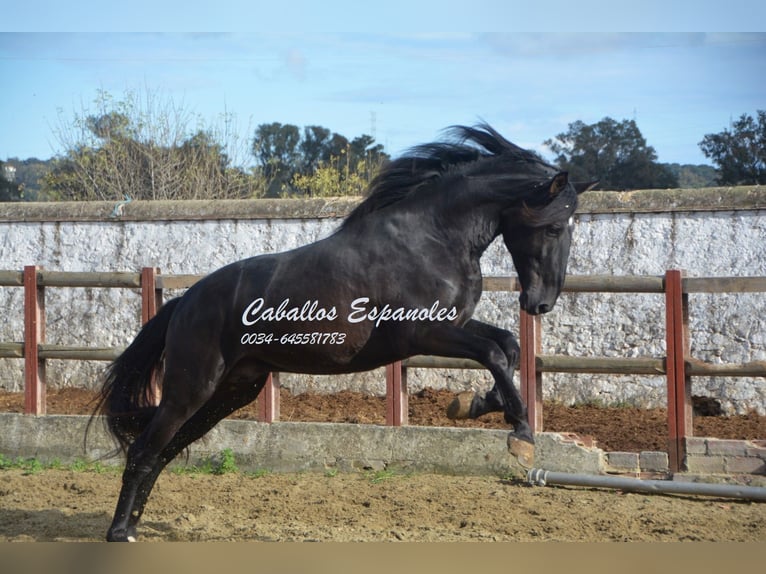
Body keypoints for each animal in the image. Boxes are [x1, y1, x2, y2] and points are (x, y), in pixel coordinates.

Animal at [91, 124, 592, 544]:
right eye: (551, 226)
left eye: (571, 228)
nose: (541, 303)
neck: (433, 238)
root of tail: (184, 303)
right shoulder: (424, 333)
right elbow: (493, 352)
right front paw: (521, 434)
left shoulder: (452, 326)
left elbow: (507, 346)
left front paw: (474, 405)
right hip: (191, 388)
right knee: (144, 450)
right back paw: (118, 532)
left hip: (233, 390)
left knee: (164, 451)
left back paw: (133, 526)